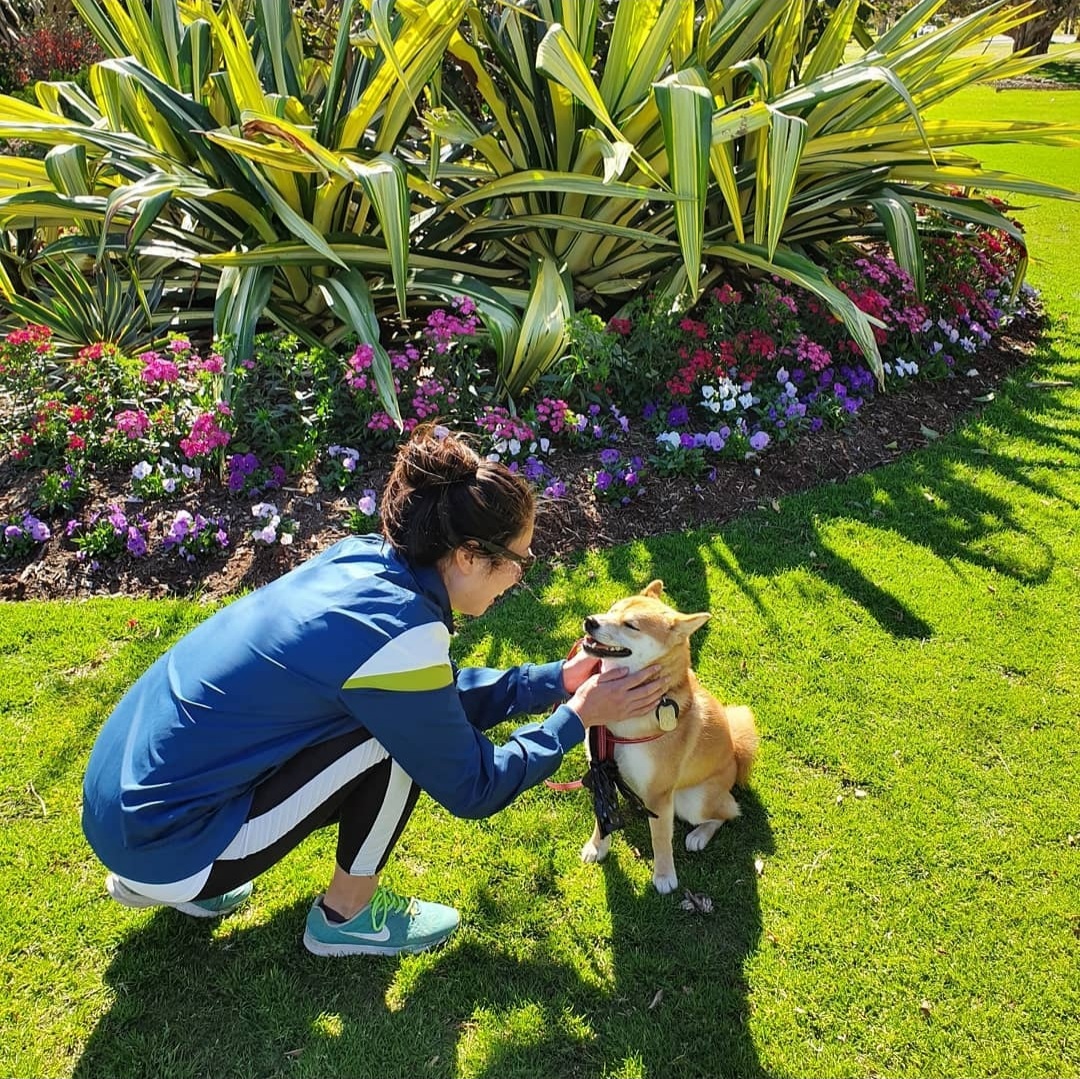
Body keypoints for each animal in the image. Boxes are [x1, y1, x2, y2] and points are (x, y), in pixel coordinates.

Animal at [578, 583, 756, 894]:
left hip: (692, 799)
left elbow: (660, 839)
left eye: (631, 625)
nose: (590, 621)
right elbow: (602, 814)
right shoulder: (600, 769)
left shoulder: (660, 794)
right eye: (612, 609)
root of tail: (735, 754)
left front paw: (664, 876)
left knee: (727, 813)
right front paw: (597, 846)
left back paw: (699, 835)